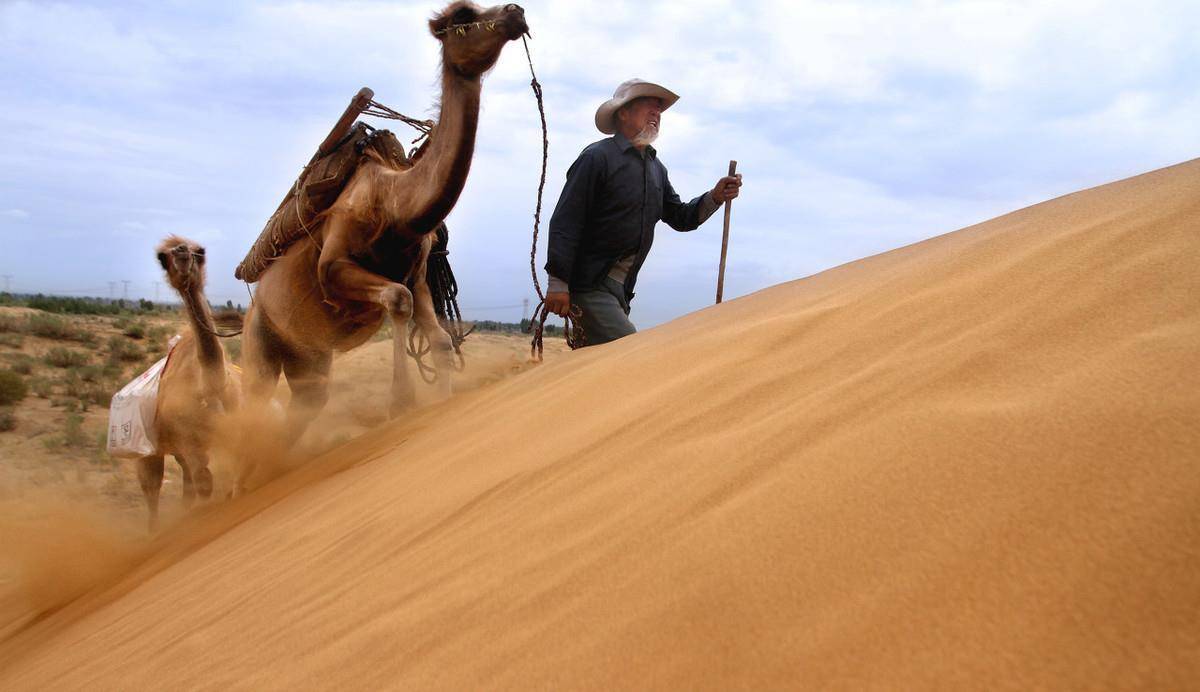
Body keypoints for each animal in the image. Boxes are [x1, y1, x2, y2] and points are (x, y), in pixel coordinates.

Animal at [137, 235, 240, 525]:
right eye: (162, 257)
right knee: (152, 490)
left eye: (200, 252)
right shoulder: (191, 442)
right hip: (151, 451)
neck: (211, 382)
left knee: (187, 484)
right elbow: (206, 484)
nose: (182, 252)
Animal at [236, 1, 528, 484]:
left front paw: (439, 404)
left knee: (308, 402)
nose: (514, 11)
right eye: (461, 18)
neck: (395, 206)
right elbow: (397, 301)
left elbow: (440, 340)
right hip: (260, 334)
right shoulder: (334, 269)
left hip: (308, 359)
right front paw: (401, 403)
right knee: (255, 397)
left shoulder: (420, 274)